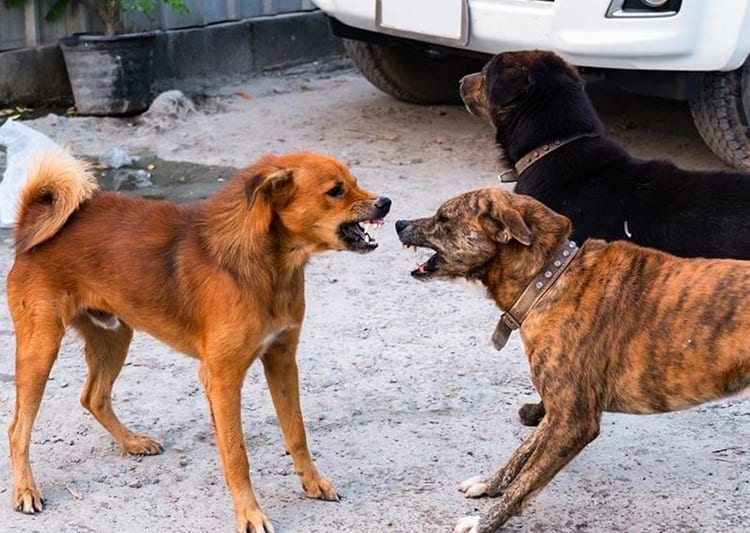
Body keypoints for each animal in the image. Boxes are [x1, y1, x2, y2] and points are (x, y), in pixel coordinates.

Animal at [7, 150, 394, 532]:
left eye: (355, 182)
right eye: (336, 191)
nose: (386, 202)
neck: (268, 265)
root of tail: (32, 222)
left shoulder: (283, 361)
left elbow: (297, 432)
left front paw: (313, 482)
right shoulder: (222, 379)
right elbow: (237, 455)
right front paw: (249, 514)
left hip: (115, 336)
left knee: (93, 397)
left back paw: (132, 442)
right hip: (41, 350)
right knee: (18, 429)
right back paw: (25, 490)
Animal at [396, 189, 748, 528]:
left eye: (443, 218)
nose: (399, 223)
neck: (548, 280)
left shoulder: (574, 422)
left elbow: (527, 480)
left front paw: (484, 522)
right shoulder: (557, 409)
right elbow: (523, 453)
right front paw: (489, 484)